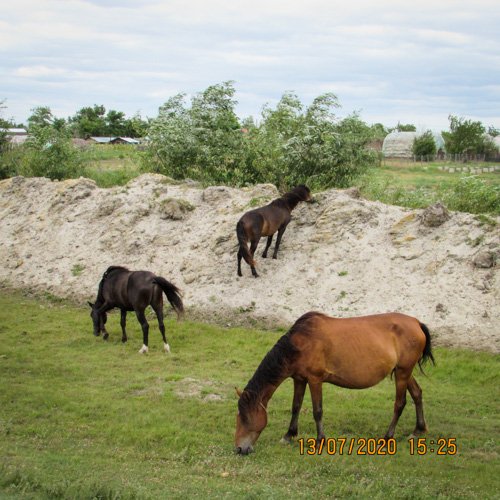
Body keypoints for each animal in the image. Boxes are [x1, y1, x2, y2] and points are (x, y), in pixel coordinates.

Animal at [234, 312, 434, 458]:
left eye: (245, 417)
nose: (239, 449)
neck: (301, 342)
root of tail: (416, 323)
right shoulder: (299, 379)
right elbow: (296, 407)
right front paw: (289, 435)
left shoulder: (315, 380)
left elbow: (317, 411)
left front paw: (320, 441)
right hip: (404, 372)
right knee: (417, 393)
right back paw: (418, 430)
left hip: (402, 373)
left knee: (399, 404)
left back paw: (387, 438)